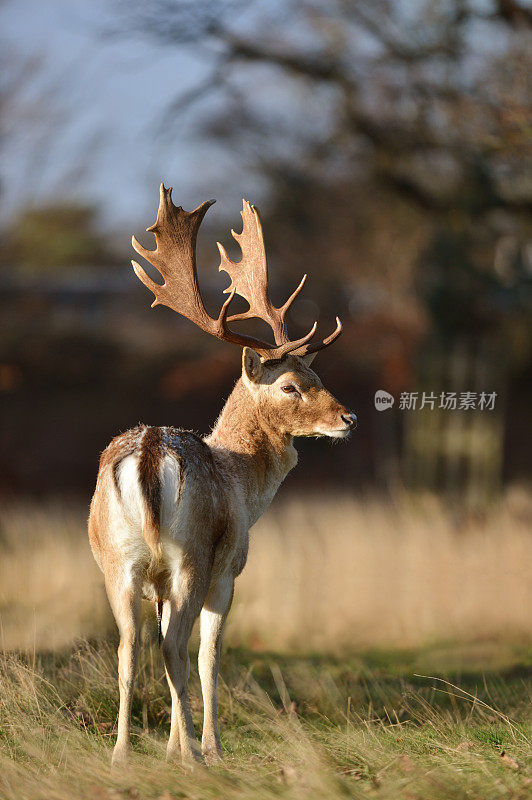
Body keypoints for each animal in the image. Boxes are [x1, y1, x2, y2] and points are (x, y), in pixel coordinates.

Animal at [88, 184, 358, 764]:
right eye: (291, 386)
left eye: (317, 373)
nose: (348, 418)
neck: (242, 480)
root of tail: (149, 452)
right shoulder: (230, 568)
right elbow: (209, 656)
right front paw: (205, 746)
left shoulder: (158, 584)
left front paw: (172, 744)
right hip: (191, 554)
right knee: (175, 647)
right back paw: (195, 755)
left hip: (117, 561)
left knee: (129, 646)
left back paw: (122, 754)